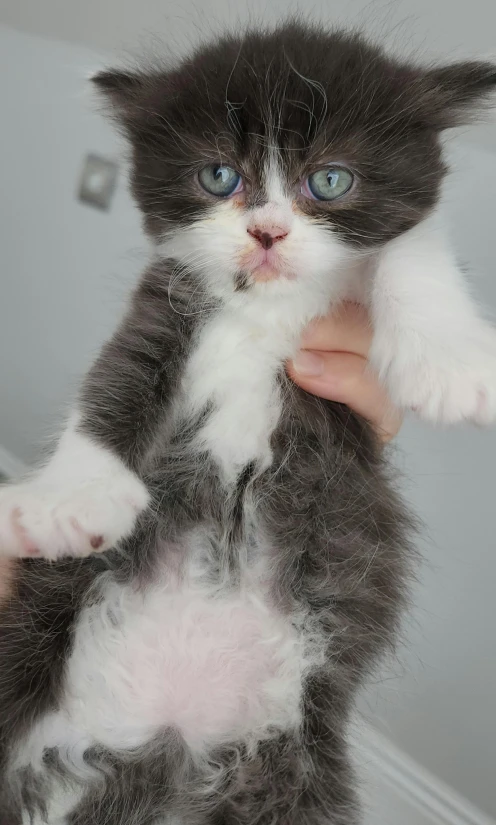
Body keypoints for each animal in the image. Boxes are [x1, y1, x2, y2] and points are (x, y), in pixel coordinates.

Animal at [0, 22, 496, 824]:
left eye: (330, 181)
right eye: (218, 177)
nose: (266, 232)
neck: (266, 310)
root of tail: (166, 737)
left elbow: (412, 247)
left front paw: (452, 360)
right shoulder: (165, 301)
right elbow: (118, 378)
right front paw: (70, 499)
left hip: (293, 764)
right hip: (26, 650)